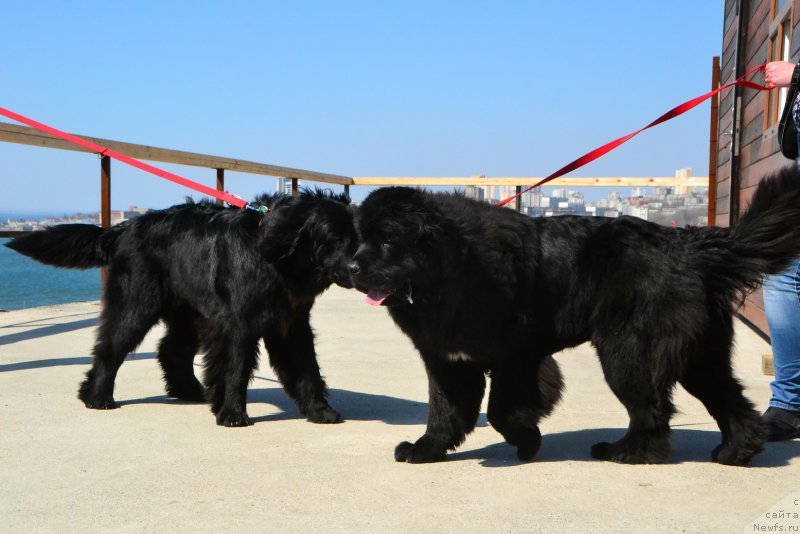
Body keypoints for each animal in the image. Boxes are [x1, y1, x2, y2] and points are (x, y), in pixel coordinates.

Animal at [7, 191, 356, 430]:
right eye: (333, 238)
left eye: (357, 236)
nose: (358, 267)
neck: (276, 260)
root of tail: (124, 227)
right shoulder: (236, 324)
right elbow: (236, 368)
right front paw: (233, 413)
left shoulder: (292, 324)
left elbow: (307, 369)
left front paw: (320, 410)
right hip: (137, 304)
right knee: (111, 347)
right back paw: (97, 397)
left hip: (192, 311)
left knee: (171, 350)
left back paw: (192, 391)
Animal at [352, 166, 800, 464]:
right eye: (360, 240)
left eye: (388, 242)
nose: (352, 267)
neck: (454, 269)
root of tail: (687, 244)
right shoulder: (447, 360)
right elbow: (445, 409)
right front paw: (425, 449)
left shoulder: (517, 356)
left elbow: (501, 409)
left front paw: (526, 441)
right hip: (700, 353)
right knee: (728, 398)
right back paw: (736, 450)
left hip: (630, 352)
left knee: (652, 408)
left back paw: (627, 452)